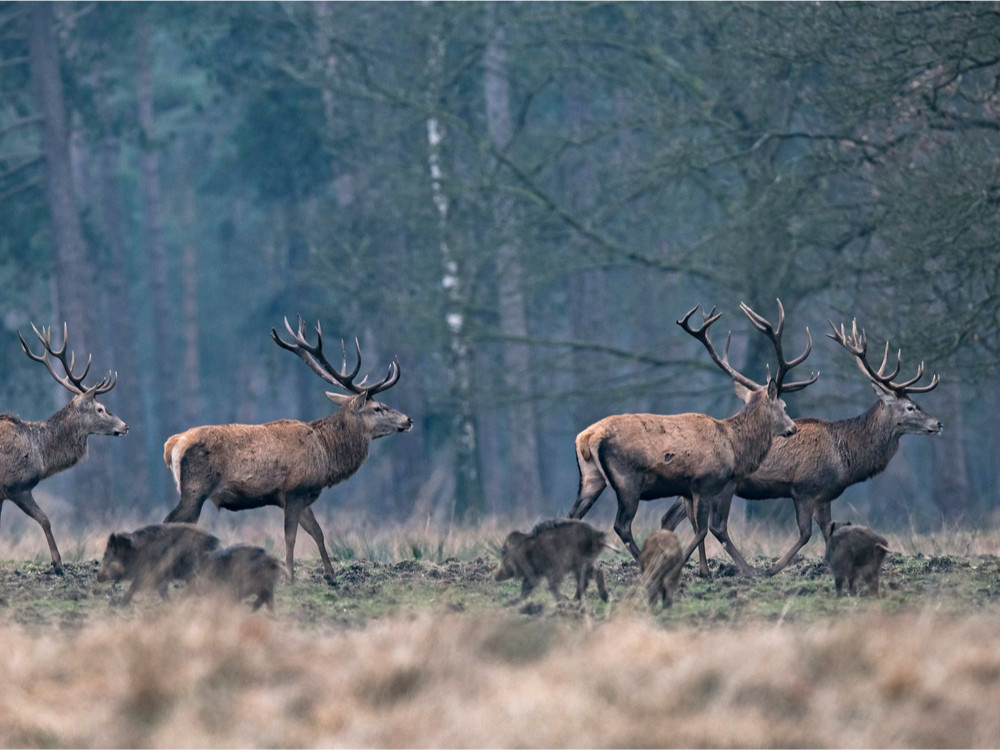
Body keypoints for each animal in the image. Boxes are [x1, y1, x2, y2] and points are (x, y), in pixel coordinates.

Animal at [0, 324, 129, 568]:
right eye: (100, 409)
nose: (125, 426)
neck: (41, 455)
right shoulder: (15, 486)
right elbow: (45, 519)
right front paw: (57, 562)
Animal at [162, 320, 412, 584]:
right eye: (378, 408)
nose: (408, 419)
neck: (326, 454)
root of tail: (172, 444)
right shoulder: (293, 491)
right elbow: (290, 537)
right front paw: (289, 577)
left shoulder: (303, 495)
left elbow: (318, 532)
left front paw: (331, 576)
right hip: (195, 489)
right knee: (171, 523)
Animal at [568, 298, 816, 568]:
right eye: (784, 406)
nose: (793, 428)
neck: (734, 446)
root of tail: (587, 437)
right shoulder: (708, 482)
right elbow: (709, 529)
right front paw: (747, 570)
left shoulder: (688, 490)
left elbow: (695, 527)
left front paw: (703, 570)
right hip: (628, 479)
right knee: (621, 525)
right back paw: (643, 563)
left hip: (591, 478)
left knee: (573, 516)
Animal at [664, 318, 936, 576]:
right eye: (910, 407)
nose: (938, 423)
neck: (845, 458)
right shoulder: (804, 488)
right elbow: (806, 534)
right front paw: (774, 568)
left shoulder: (825, 494)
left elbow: (829, 531)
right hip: (722, 485)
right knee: (714, 525)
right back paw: (743, 570)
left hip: (693, 487)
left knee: (675, 518)